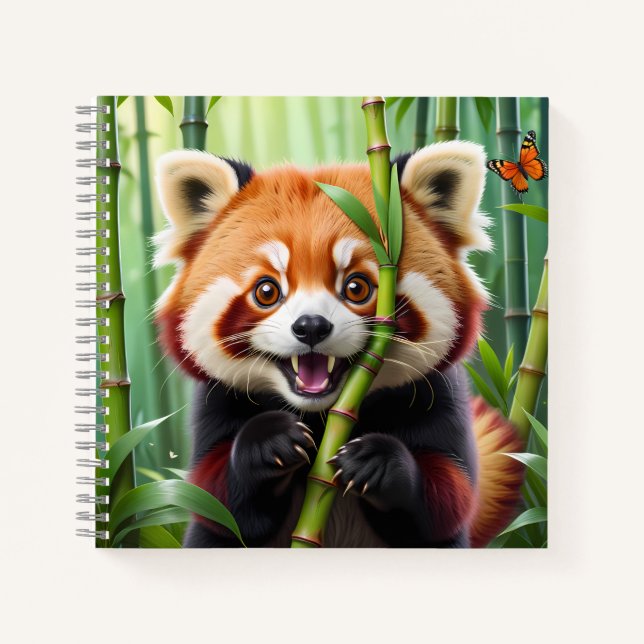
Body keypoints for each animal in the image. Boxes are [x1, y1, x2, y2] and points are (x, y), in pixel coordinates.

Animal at [153, 143, 524, 547]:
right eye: (267, 291)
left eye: (357, 287)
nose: (311, 327)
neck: (321, 417)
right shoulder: (216, 404)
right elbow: (218, 506)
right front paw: (270, 441)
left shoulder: (439, 397)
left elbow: (447, 501)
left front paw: (376, 461)